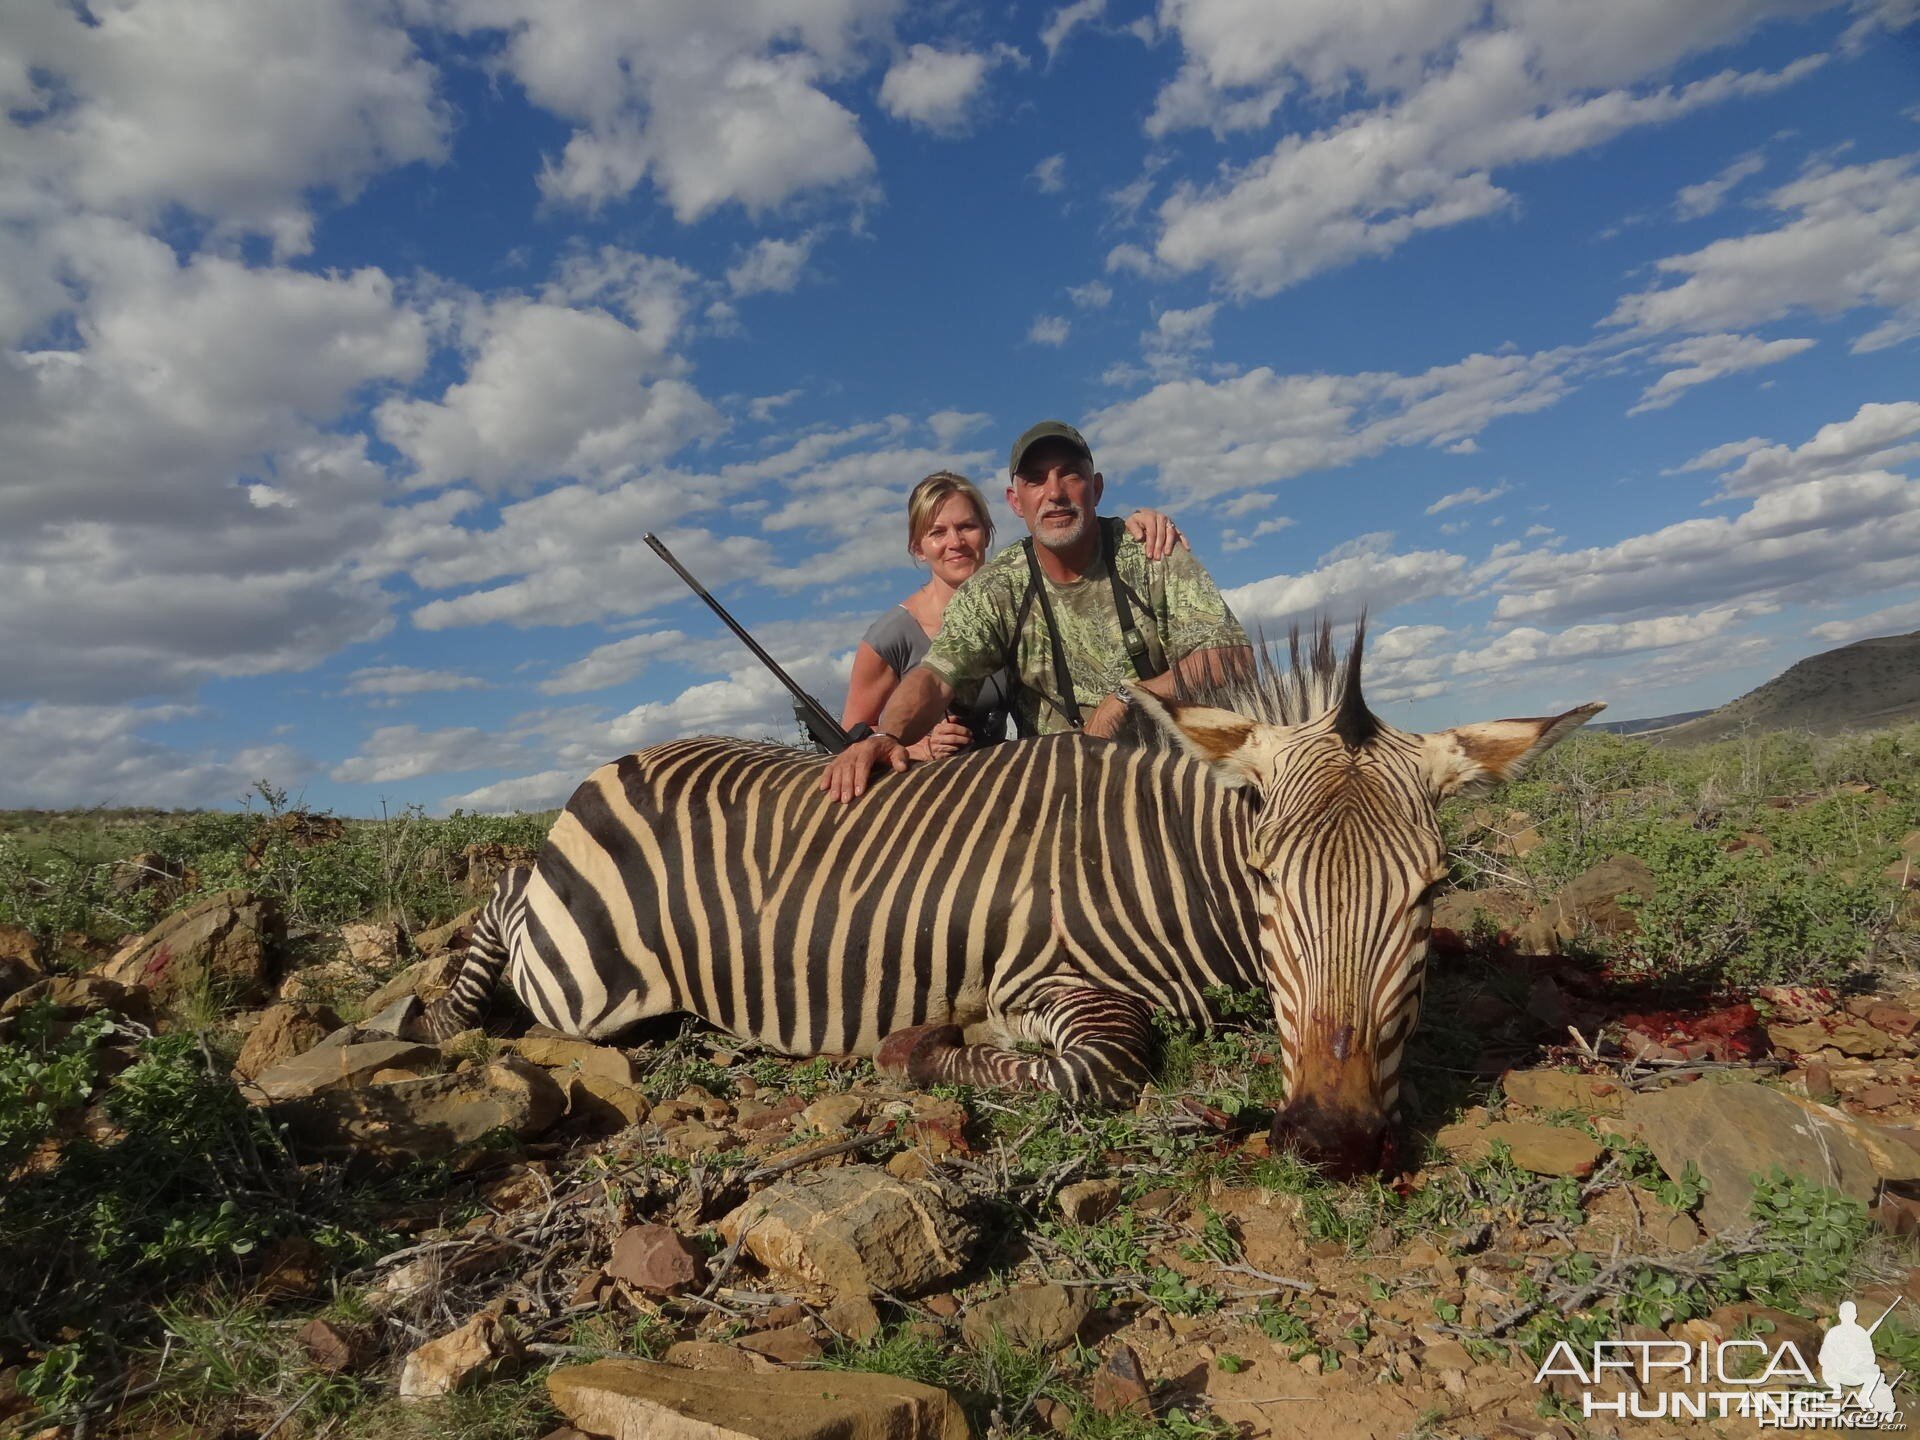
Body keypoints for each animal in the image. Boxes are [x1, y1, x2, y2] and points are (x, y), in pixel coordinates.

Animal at [424, 629, 1605, 1175]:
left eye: (1433, 891)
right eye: (1268, 877)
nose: (1335, 1139)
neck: (1177, 869)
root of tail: (614, 764)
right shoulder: (1050, 977)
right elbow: (1099, 1068)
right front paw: (922, 1047)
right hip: (587, 983)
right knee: (501, 903)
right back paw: (436, 1018)